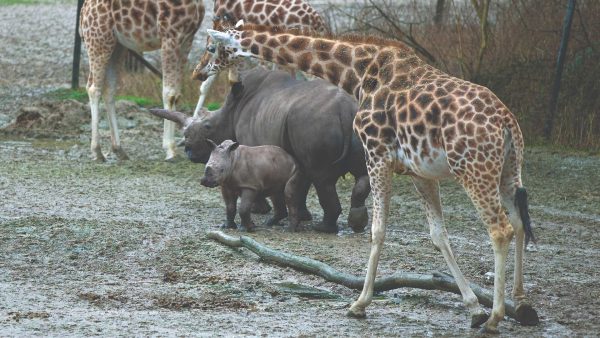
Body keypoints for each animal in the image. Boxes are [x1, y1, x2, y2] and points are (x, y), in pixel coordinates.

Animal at [78, 0, 205, 161]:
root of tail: (83, 12)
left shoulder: (187, 39)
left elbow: (176, 94)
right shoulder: (170, 36)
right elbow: (169, 94)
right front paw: (170, 149)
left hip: (117, 45)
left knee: (109, 90)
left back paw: (119, 149)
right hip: (99, 41)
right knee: (94, 88)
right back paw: (97, 151)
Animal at [205, 25, 540, 334]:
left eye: (211, 47)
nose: (201, 71)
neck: (358, 72)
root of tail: (508, 123)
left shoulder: (377, 155)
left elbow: (377, 230)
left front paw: (359, 304)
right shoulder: (418, 172)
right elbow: (438, 235)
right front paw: (473, 307)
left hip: (473, 170)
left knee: (500, 230)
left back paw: (496, 317)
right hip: (508, 170)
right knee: (519, 222)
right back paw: (521, 302)